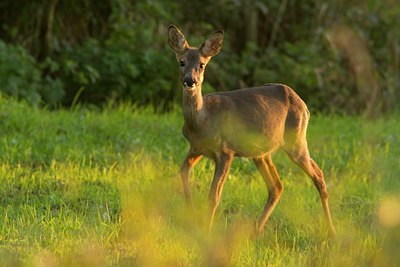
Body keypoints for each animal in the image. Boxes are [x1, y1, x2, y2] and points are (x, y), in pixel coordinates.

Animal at [167, 25, 336, 239]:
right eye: (181, 62)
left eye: (202, 65)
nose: (190, 81)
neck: (202, 120)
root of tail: (303, 104)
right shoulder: (197, 148)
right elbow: (183, 172)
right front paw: (192, 215)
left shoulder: (226, 150)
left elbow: (214, 195)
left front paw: (207, 231)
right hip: (261, 152)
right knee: (277, 186)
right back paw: (256, 230)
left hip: (296, 140)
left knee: (318, 175)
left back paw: (332, 231)